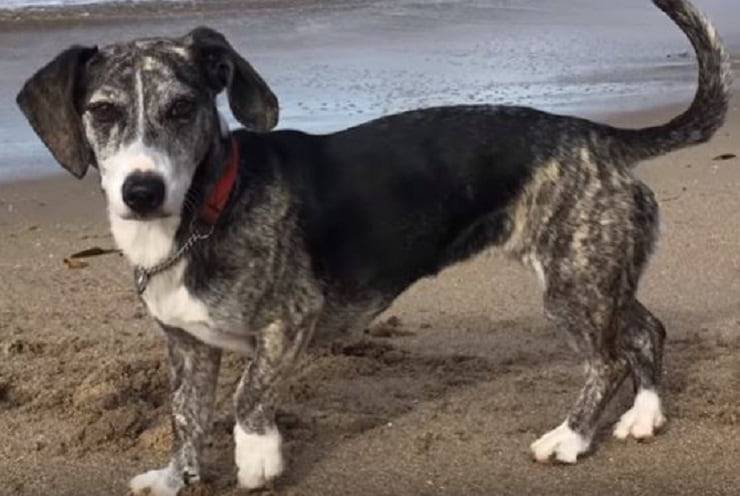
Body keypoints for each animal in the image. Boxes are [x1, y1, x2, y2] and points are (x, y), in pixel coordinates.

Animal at [16, 0, 731, 493]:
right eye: (103, 111)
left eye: (182, 108)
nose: (141, 190)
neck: (204, 210)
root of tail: (597, 134)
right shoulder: (187, 346)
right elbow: (184, 416)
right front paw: (175, 476)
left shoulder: (292, 321)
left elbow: (247, 396)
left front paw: (258, 455)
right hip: (597, 274)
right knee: (645, 329)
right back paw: (644, 416)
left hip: (571, 284)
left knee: (606, 359)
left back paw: (572, 439)